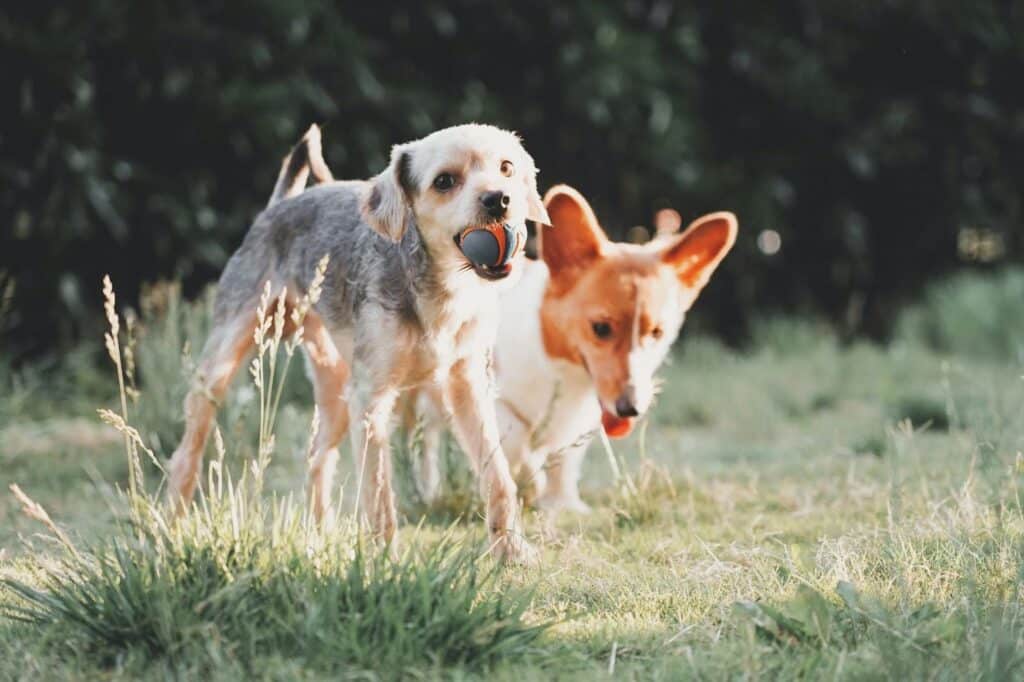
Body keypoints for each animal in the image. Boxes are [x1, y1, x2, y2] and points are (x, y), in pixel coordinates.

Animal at [167, 124, 552, 561]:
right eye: (444, 181)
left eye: (506, 167)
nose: (498, 200)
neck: (440, 286)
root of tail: (280, 204)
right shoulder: (371, 401)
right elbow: (379, 494)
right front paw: (385, 562)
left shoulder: (468, 387)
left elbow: (498, 474)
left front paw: (511, 550)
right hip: (222, 369)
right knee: (187, 451)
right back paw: (169, 527)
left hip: (336, 392)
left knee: (317, 457)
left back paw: (319, 536)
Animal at [409, 183, 737, 512]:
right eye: (601, 328)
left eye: (657, 332)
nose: (630, 409)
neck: (559, 365)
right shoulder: (492, 401)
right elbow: (517, 445)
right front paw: (531, 482)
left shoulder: (580, 423)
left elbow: (563, 462)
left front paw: (563, 503)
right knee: (424, 443)